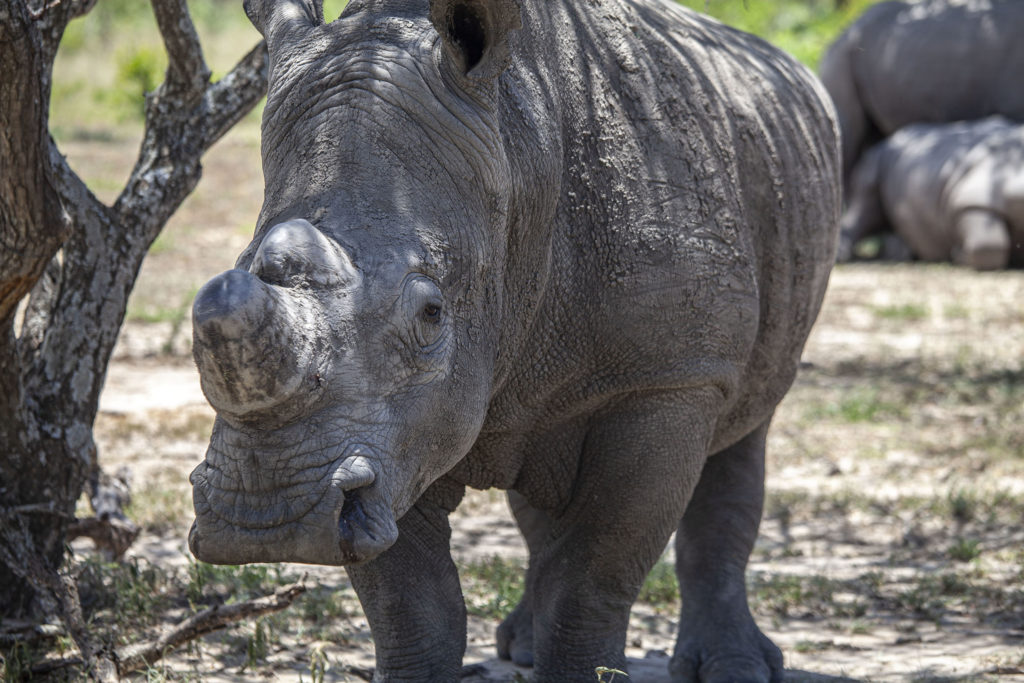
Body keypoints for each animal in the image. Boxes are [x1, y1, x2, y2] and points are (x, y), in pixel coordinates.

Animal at [186, 2, 839, 679]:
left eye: (431, 315)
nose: (265, 516)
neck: (519, 152)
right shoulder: (388, 439)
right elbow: (410, 606)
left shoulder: (668, 377)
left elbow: (594, 574)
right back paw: (520, 646)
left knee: (744, 432)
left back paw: (737, 666)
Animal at [839, 116, 1024, 268]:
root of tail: (894, 137)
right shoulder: (973, 196)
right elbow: (987, 245)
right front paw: (959, 255)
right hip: (881, 155)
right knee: (866, 202)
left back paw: (904, 253)